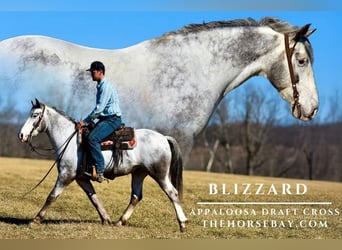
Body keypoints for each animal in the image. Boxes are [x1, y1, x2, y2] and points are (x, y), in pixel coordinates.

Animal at [18, 98, 187, 231]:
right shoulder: (81, 178)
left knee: (173, 193)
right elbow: (94, 198)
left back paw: (183, 223)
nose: (21, 135)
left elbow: (52, 196)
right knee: (136, 196)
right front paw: (106, 219)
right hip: (139, 173)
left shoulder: (66, 175)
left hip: (160, 174)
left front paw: (35, 220)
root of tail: (164, 138)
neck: (70, 140)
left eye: (34, 115)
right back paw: (120, 221)